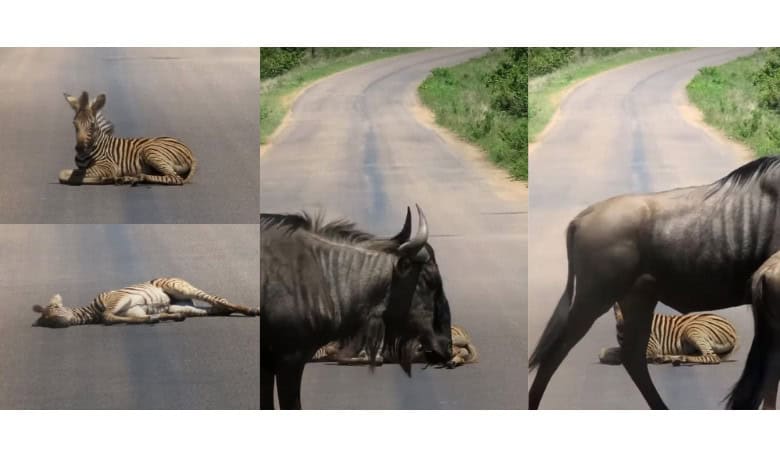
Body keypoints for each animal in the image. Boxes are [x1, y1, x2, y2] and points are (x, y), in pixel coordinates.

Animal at [61, 91, 197, 185]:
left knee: (175, 178)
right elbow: (67, 174)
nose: (79, 148)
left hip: (150, 150)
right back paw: (129, 178)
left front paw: (107, 178)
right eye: (74, 123)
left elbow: (64, 174)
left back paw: (138, 177)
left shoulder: (107, 166)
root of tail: (189, 151)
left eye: (92, 125)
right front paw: (108, 179)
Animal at [598, 303, 738, 366]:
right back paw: (670, 358)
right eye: (616, 308)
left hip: (692, 329)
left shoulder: (651, 346)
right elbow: (603, 352)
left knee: (711, 357)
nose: (621, 325)